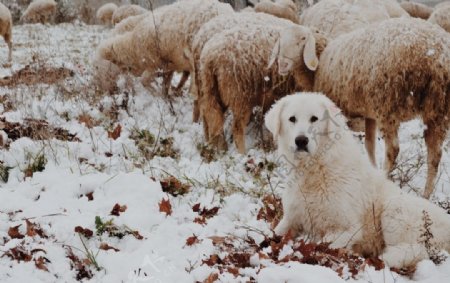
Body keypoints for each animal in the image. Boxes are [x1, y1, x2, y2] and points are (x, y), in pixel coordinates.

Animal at [264, 92, 450, 268]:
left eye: (314, 118)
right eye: (292, 119)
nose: (301, 140)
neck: (315, 168)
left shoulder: (348, 228)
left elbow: (319, 244)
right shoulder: (291, 218)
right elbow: (273, 235)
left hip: (395, 208)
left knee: (417, 251)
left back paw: (382, 258)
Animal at [270, 17, 450, 200]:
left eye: (302, 39)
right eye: (280, 40)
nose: (282, 64)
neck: (319, 64)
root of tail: (435, 56)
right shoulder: (369, 113)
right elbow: (369, 145)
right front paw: (371, 169)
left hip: (388, 104)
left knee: (393, 150)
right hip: (437, 109)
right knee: (435, 155)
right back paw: (426, 195)